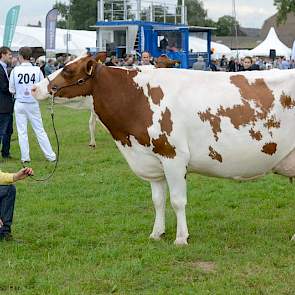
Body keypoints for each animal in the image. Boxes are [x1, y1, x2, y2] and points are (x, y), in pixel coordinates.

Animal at [33, 52, 295, 245]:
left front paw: (181, 238)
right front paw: (156, 233)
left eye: (67, 69)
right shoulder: (152, 160)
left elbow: (177, 200)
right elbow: (158, 200)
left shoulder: (173, 156)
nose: (34, 88)